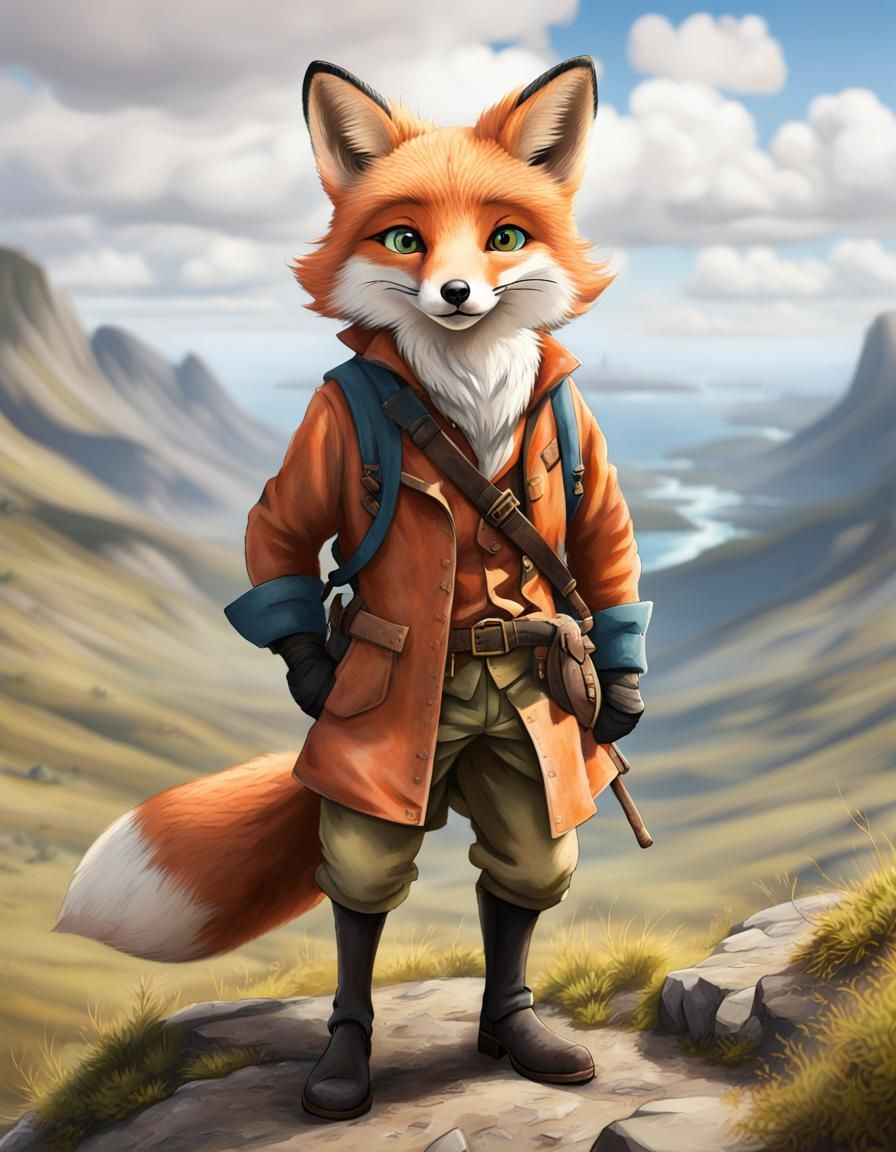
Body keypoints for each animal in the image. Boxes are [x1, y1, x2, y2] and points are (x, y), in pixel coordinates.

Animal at [57, 55, 651, 1117]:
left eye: (504, 238)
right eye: (405, 237)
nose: (455, 291)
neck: (465, 388)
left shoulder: (579, 446)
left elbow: (603, 544)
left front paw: (620, 695)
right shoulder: (326, 435)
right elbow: (279, 534)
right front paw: (308, 673)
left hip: (520, 760)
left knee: (521, 872)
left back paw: (510, 1031)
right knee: (366, 885)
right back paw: (344, 1060)